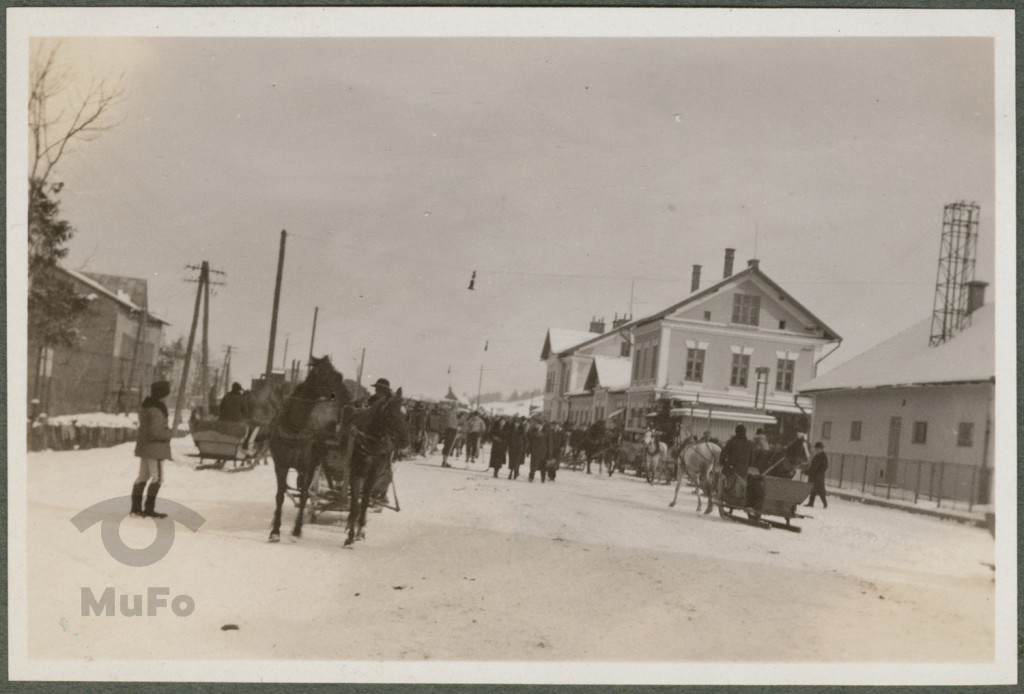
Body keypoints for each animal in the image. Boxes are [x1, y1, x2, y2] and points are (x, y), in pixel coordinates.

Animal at [268, 358, 352, 544]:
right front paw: (275, 531)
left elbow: (305, 495)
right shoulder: (281, 465)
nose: (348, 397)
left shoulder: (308, 467)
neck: (295, 427)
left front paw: (297, 530)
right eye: (327, 376)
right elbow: (280, 495)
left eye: (339, 375)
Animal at [344, 391, 407, 548]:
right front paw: (350, 536)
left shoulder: (373, 475)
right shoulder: (355, 473)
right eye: (390, 414)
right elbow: (355, 504)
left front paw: (360, 529)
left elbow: (364, 502)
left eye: (406, 414)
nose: (406, 440)